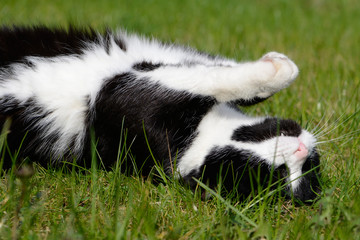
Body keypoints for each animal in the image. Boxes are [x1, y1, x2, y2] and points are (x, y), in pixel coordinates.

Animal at [0, 25, 320, 202]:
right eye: (280, 173)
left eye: (296, 173)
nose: (302, 151)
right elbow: (209, 72)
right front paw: (278, 66)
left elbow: (204, 75)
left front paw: (274, 68)